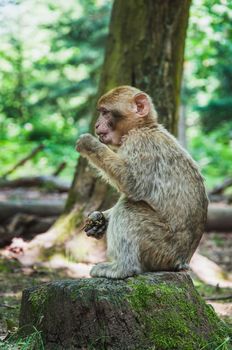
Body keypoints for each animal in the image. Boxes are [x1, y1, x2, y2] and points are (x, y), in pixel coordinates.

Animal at [76, 86, 208, 280]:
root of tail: (181, 263)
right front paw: (98, 220)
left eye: (105, 112)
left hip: (161, 249)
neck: (143, 126)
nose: (97, 125)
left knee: (129, 208)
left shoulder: (139, 142)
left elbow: (131, 183)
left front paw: (89, 144)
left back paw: (123, 268)